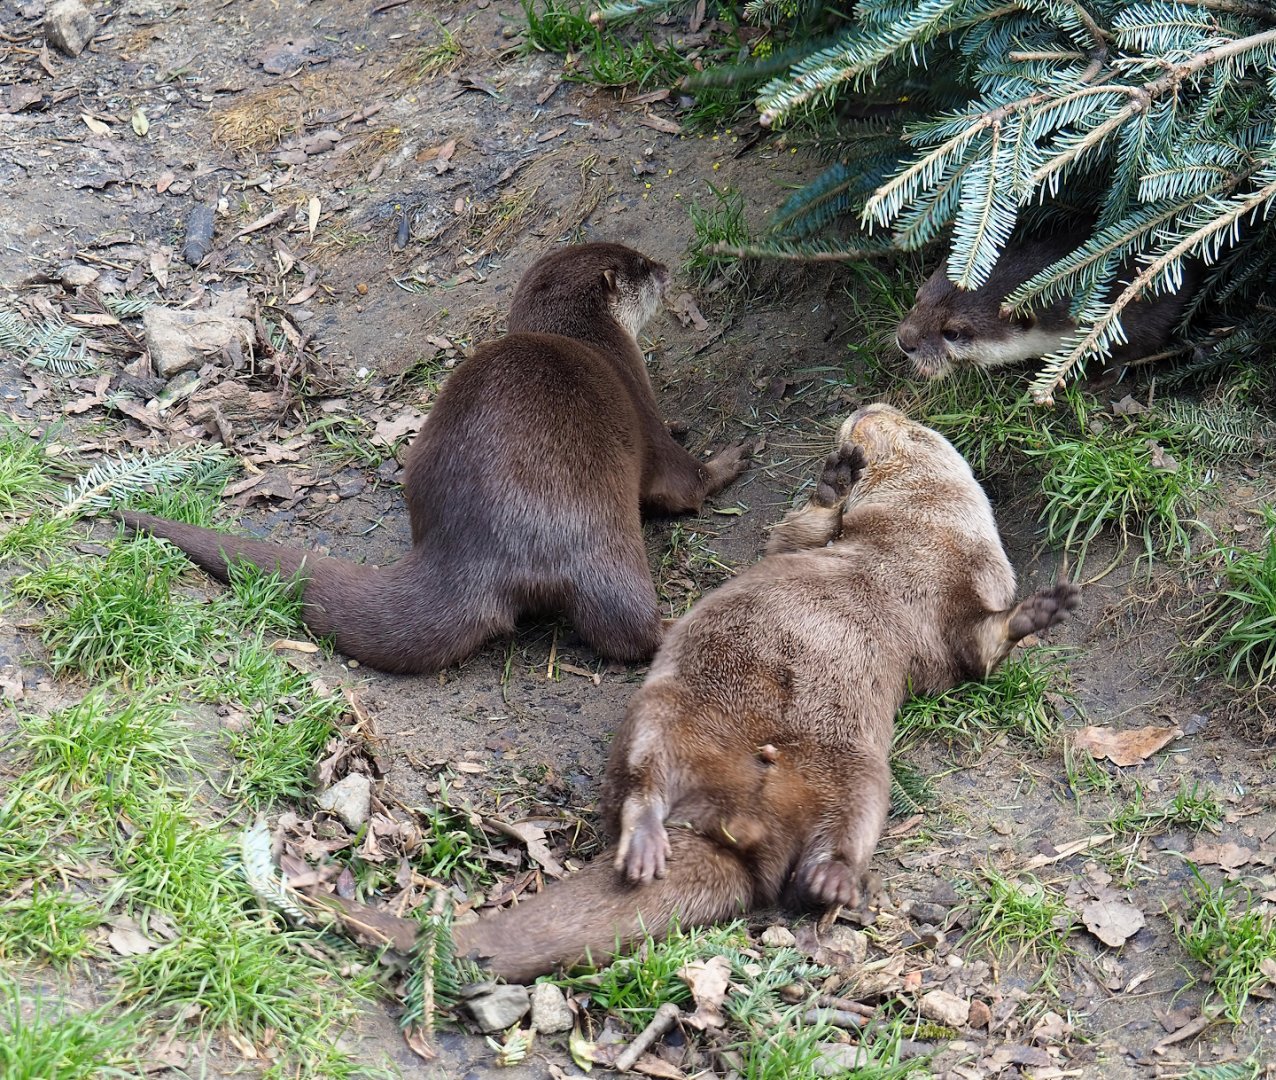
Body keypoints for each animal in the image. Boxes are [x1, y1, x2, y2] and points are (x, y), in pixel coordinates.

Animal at [118, 243, 750, 674]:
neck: (595, 340)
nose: (666, 268)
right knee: (624, 628)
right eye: (640, 264)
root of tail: (468, 549)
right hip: (598, 531)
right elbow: (682, 480)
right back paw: (680, 625)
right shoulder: (639, 403)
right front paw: (734, 456)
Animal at [452, 404, 1080, 982]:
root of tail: (739, 828)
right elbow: (795, 534)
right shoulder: (838, 544)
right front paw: (835, 477)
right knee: (641, 780)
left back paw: (831, 880)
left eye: (917, 432)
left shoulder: (959, 604)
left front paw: (1041, 611)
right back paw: (648, 843)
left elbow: (979, 649)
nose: (871, 409)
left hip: (863, 776)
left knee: (834, 844)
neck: (913, 542)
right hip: (666, 710)